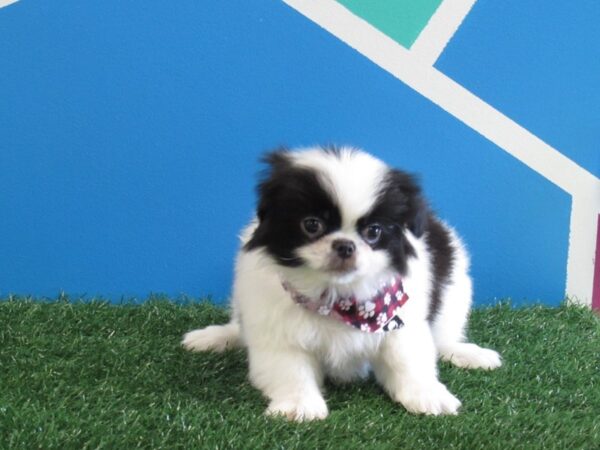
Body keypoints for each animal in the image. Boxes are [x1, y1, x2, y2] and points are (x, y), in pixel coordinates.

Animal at [183, 147, 502, 422]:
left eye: (374, 231)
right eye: (312, 225)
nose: (345, 245)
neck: (338, 298)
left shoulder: (400, 322)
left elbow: (409, 361)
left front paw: (427, 395)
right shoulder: (276, 329)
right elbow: (290, 370)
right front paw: (299, 405)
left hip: (455, 290)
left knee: (444, 336)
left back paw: (467, 353)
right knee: (239, 328)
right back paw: (215, 337)